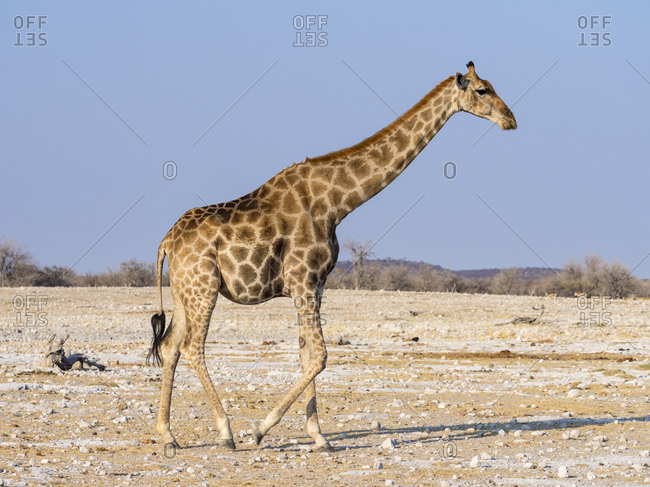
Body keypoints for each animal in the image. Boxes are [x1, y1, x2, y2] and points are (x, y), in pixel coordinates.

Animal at [147, 61, 516, 452]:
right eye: (482, 90)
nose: (510, 119)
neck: (337, 203)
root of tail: (166, 241)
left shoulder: (316, 284)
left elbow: (306, 354)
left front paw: (319, 436)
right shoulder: (302, 280)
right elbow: (321, 355)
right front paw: (261, 429)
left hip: (186, 291)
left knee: (170, 346)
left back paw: (168, 434)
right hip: (204, 287)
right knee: (192, 347)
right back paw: (226, 432)